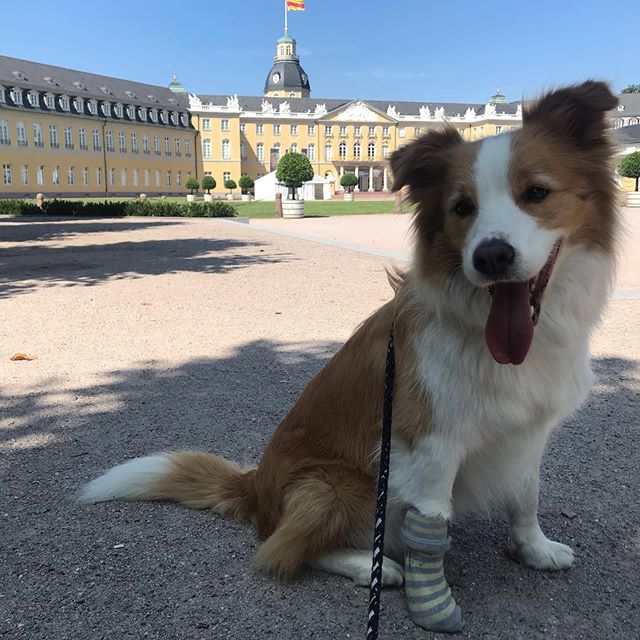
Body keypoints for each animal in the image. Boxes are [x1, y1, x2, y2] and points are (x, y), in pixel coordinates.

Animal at [81, 81, 620, 600]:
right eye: (462, 208)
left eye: (537, 192)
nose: (491, 257)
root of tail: (257, 488)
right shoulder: (432, 445)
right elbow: (432, 526)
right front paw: (432, 598)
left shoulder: (529, 431)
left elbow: (526, 498)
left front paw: (534, 550)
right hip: (339, 487)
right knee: (286, 549)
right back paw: (371, 567)